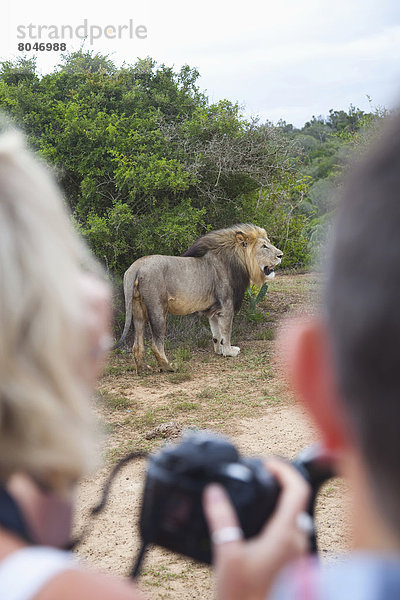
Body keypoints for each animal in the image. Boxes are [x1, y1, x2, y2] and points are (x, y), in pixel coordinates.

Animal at [114, 225, 282, 372]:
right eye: (264, 246)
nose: (281, 255)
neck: (238, 260)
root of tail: (135, 267)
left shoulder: (214, 310)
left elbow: (216, 334)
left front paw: (219, 350)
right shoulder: (226, 306)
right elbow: (226, 331)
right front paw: (229, 351)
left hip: (138, 310)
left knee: (137, 345)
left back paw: (143, 369)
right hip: (158, 309)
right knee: (156, 345)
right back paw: (169, 367)